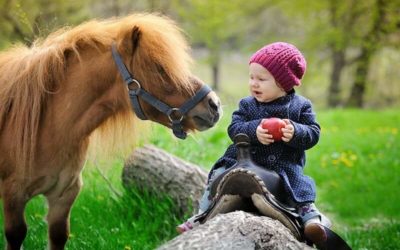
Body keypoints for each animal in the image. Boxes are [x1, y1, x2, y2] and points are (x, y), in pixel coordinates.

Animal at [0, 13, 222, 250]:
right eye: (159, 67)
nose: (214, 105)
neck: (48, 127)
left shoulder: (63, 195)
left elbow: (58, 235)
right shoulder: (14, 194)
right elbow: (16, 234)